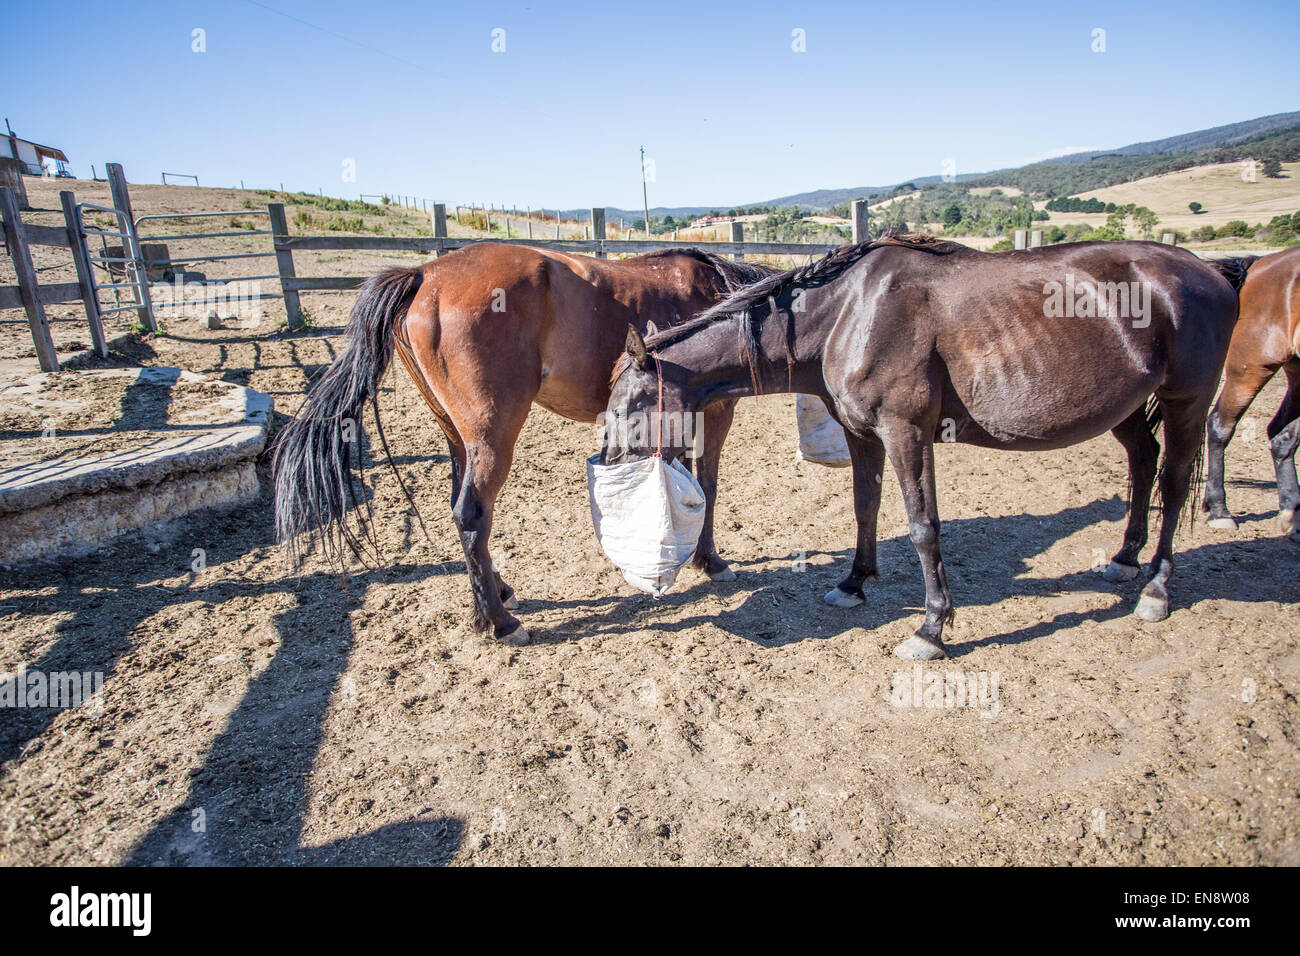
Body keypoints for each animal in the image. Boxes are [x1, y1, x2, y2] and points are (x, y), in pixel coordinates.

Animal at [269, 240, 764, 642]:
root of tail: (425, 275)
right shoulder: (714, 412)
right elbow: (707, 486)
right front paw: (710, 561)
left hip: (459, 438)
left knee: (463, 509)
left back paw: (492, 599)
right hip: (492, 435)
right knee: (471, 513)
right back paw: (500, 623)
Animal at [605, 235, 1248, 660]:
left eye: (629, 406)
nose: (608, 464)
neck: (847, 313)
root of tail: (1210, 269)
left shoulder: (907, 433)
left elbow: (923, 525)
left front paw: (931, 628)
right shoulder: (862, 433)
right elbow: (865, 507)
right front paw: (853, 584)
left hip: (1187, 402)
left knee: (1172, 483)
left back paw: (1157, 589)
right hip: (1126, 408)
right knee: (1143, 464)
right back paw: (1124, 559)